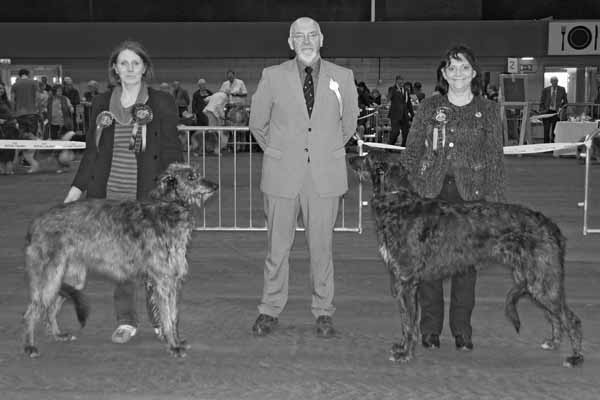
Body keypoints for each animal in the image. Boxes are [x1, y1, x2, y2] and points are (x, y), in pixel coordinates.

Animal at [25, 164, 220, 358]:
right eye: (191, 177)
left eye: (196, 173)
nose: (215, 185)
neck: (168, 209)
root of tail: (36, 223)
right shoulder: (162, 281)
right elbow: (166, 318)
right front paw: (173, 346)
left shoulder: (173, 281)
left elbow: (174, 317)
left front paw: (177, 341)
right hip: (50, 275)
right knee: (32, 310)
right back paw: (30, 346)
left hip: (72, 277)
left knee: (50, 307)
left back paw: (58, 335)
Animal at [350, 151, 584, 368]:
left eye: (367, 156)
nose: (350, 158)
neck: (398, 203)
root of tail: (552, 227)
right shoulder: (403, 280)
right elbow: (406, 320)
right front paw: (402, 348)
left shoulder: (406, 280)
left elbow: (408, 322)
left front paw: (405, 353)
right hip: (535, 279)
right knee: (554, 315)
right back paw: (553, 342)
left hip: (541, 279)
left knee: (570, 318)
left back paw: (576, 357)